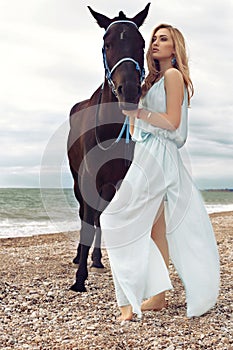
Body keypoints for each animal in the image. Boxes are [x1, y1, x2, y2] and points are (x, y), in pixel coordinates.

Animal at [67, 4, 151, 292]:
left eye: (142, 42)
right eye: (107, 43)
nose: (130, 91)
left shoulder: (118, 180)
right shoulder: (87, 178)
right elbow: (87, 220)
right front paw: (80, 278)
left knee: (98, 216)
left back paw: (96, 258)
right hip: (78, 181)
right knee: (86, 213)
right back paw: (80, 257)